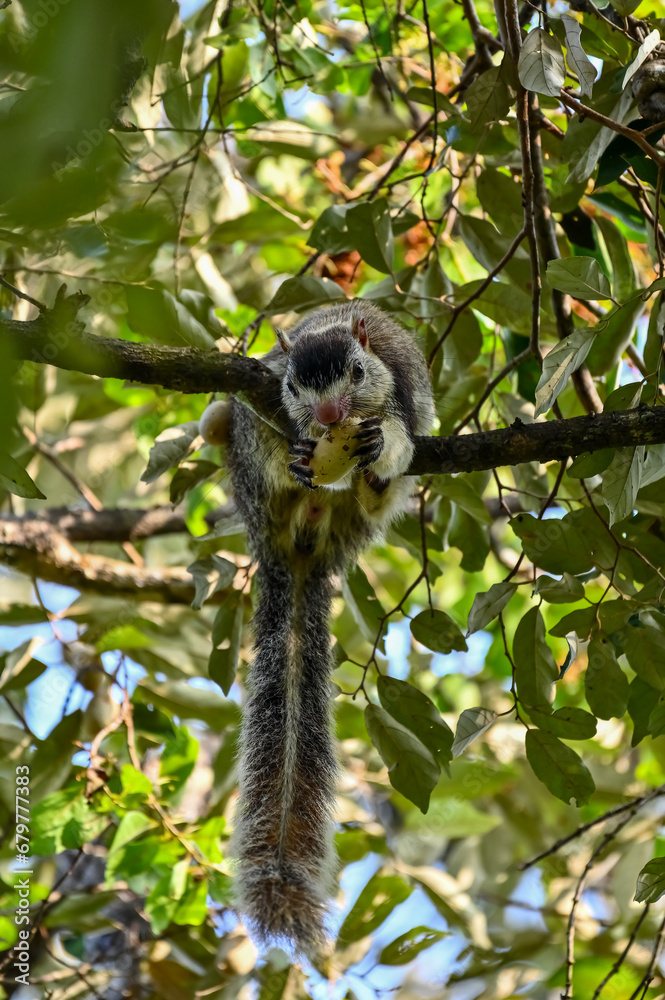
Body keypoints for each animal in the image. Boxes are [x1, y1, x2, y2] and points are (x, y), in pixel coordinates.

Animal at [220, 301, 434, 955]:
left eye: (359, 371)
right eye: (293, 386)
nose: (329, 417)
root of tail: (301, 549)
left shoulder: (403, 402)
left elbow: (400, 443)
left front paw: (376, 446)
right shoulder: (263, 401)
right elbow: (266, 430)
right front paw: (296, 452)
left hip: (369, 515)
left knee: (381, 492)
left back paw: (370, 486)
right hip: (252, 488)